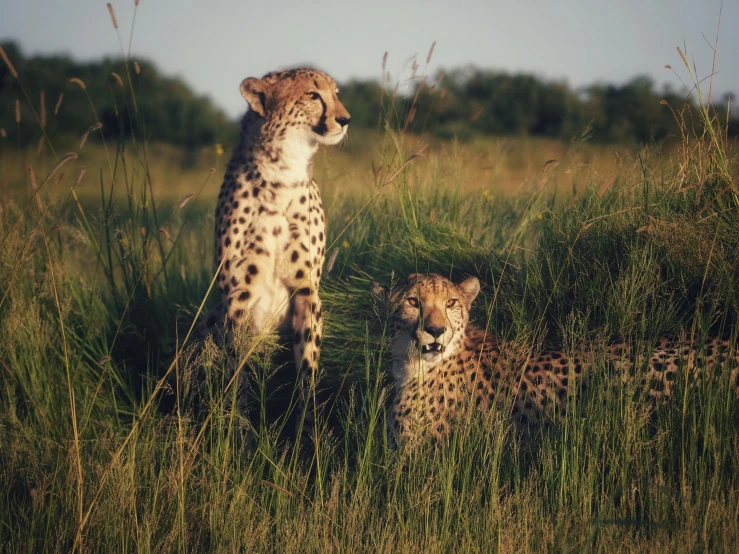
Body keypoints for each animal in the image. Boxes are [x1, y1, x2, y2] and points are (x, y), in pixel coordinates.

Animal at [198, 67, 352, 434]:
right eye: (313, 95)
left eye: (335, 93)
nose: (345, 119)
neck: (281, 173)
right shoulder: (236, 296)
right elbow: (236, 372)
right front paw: (236, 431)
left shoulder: (307, 291)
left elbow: (307, 371)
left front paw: (307, 432)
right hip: (211, 318)